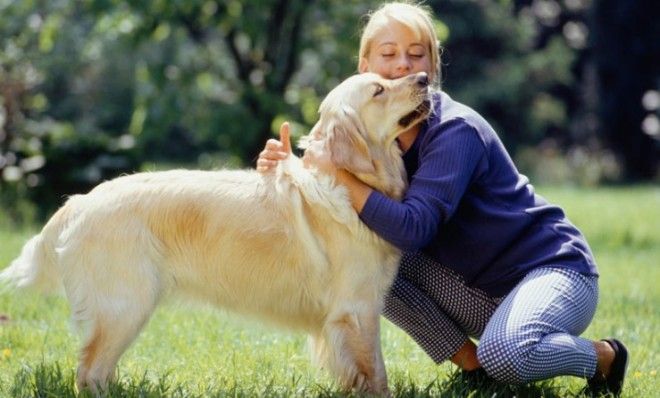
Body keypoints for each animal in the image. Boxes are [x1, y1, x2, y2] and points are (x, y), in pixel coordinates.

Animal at [0, 70, 430, 392]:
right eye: (379, 90)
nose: (426, 77)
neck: (348, 182)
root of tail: (79, 201)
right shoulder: (356, 311)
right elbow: (377, 373)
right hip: (124, 308)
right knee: (90, 371)